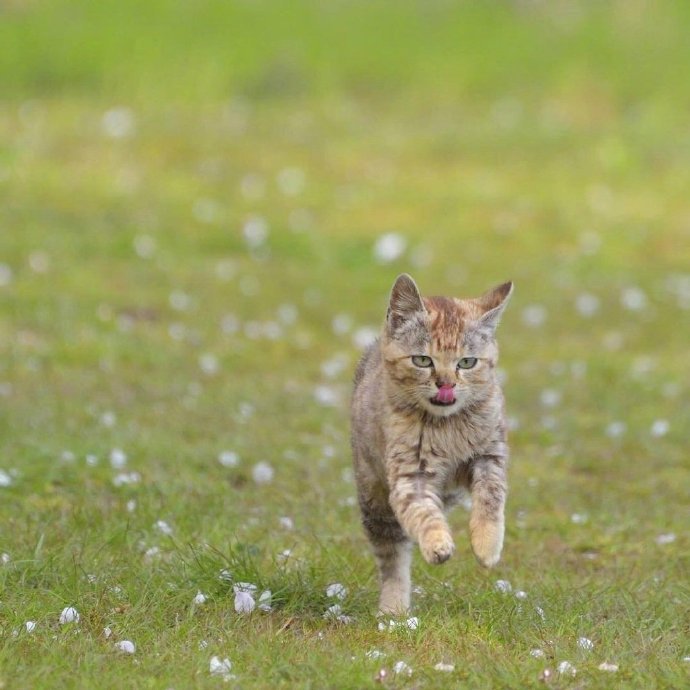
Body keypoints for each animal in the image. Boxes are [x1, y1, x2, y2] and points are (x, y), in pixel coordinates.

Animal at [350, 272, 510, 612]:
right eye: (423, 360)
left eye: (467, 362)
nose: (445, 384)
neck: (446, 425)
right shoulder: (410, 474)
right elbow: (422, 511)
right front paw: (437, 542)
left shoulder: (490, 453)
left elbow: (491, 496)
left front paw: (487, 544)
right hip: (374, 498)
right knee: (393, 556)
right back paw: (393, 609)